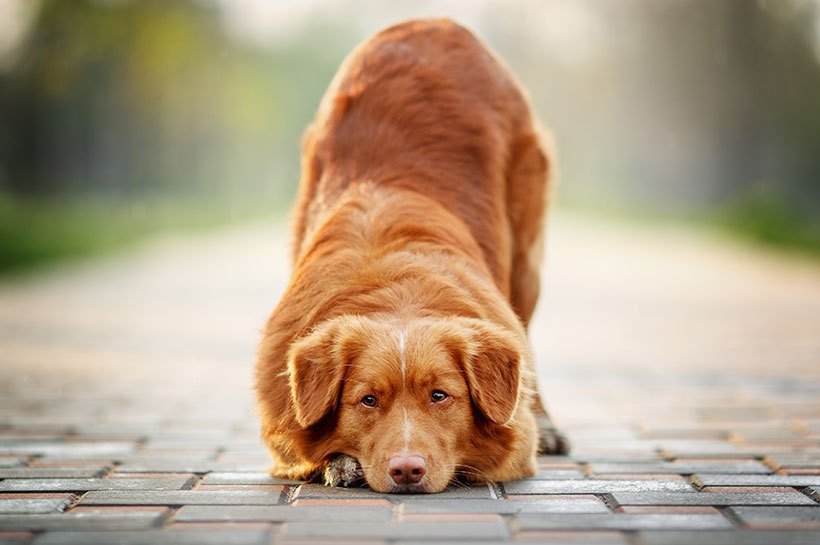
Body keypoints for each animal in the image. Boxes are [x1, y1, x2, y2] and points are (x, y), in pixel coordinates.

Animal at [255, 18, 564, 492]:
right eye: (367, 400)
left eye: (439, 396)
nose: (406, 470)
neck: (397, 289)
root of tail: (433, 23)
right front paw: (340, 461)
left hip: (526, 262)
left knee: (528, 337)